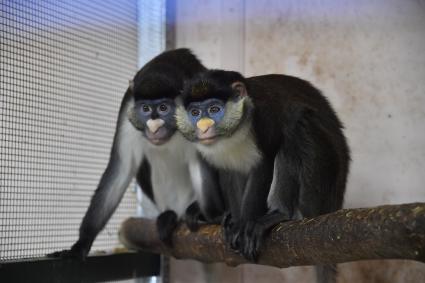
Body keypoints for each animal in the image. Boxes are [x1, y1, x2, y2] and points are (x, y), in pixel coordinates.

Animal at [48, 48, 212, 260]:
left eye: (163, 108)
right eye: (145, 108)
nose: (154, 127)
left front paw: (201, 211)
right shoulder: (128, 107)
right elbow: (121, 168)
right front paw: (81, 243)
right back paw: (169, 216)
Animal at [174, 69, 350, 283]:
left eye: (215, 109)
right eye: (195, 113)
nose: (203, 127)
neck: (239, 128)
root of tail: (336, 202)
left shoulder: (265, 118)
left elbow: (264, 163)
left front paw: (244, 225)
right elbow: (230, 172)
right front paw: (235, 222)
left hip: (320, 190)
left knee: (297, 125)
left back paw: (283, 213)